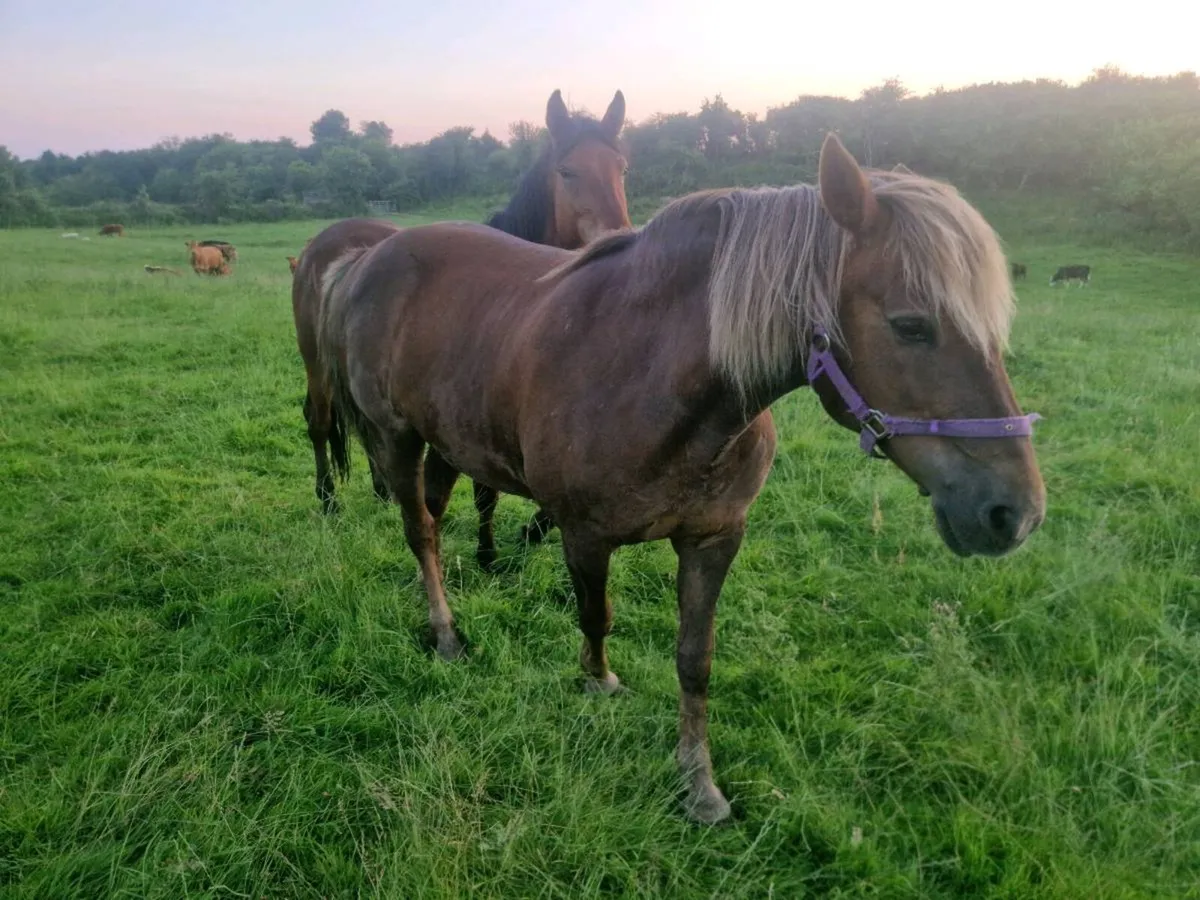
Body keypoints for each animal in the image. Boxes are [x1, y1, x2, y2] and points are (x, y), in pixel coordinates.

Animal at [291, 88, 631, 536]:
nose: (619, 236)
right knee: (319, 420)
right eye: (566, 171)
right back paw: (328, 499)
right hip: (316, 364)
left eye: (622, 168)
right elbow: (486, 492)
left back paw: (382, 491)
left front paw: (531, 531)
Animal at [314, 132, 1046, 825]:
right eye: (910, 325)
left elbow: (695, 657)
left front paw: (700, 784)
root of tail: (369, 258)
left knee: (435, 519)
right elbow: (596, 616)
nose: (1015, 513)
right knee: (420, 531)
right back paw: (444, 633)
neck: (651, 374)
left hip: (446, 440)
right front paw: (599, 683)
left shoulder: (715, 538)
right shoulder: (584, 535)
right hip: (397, 437)